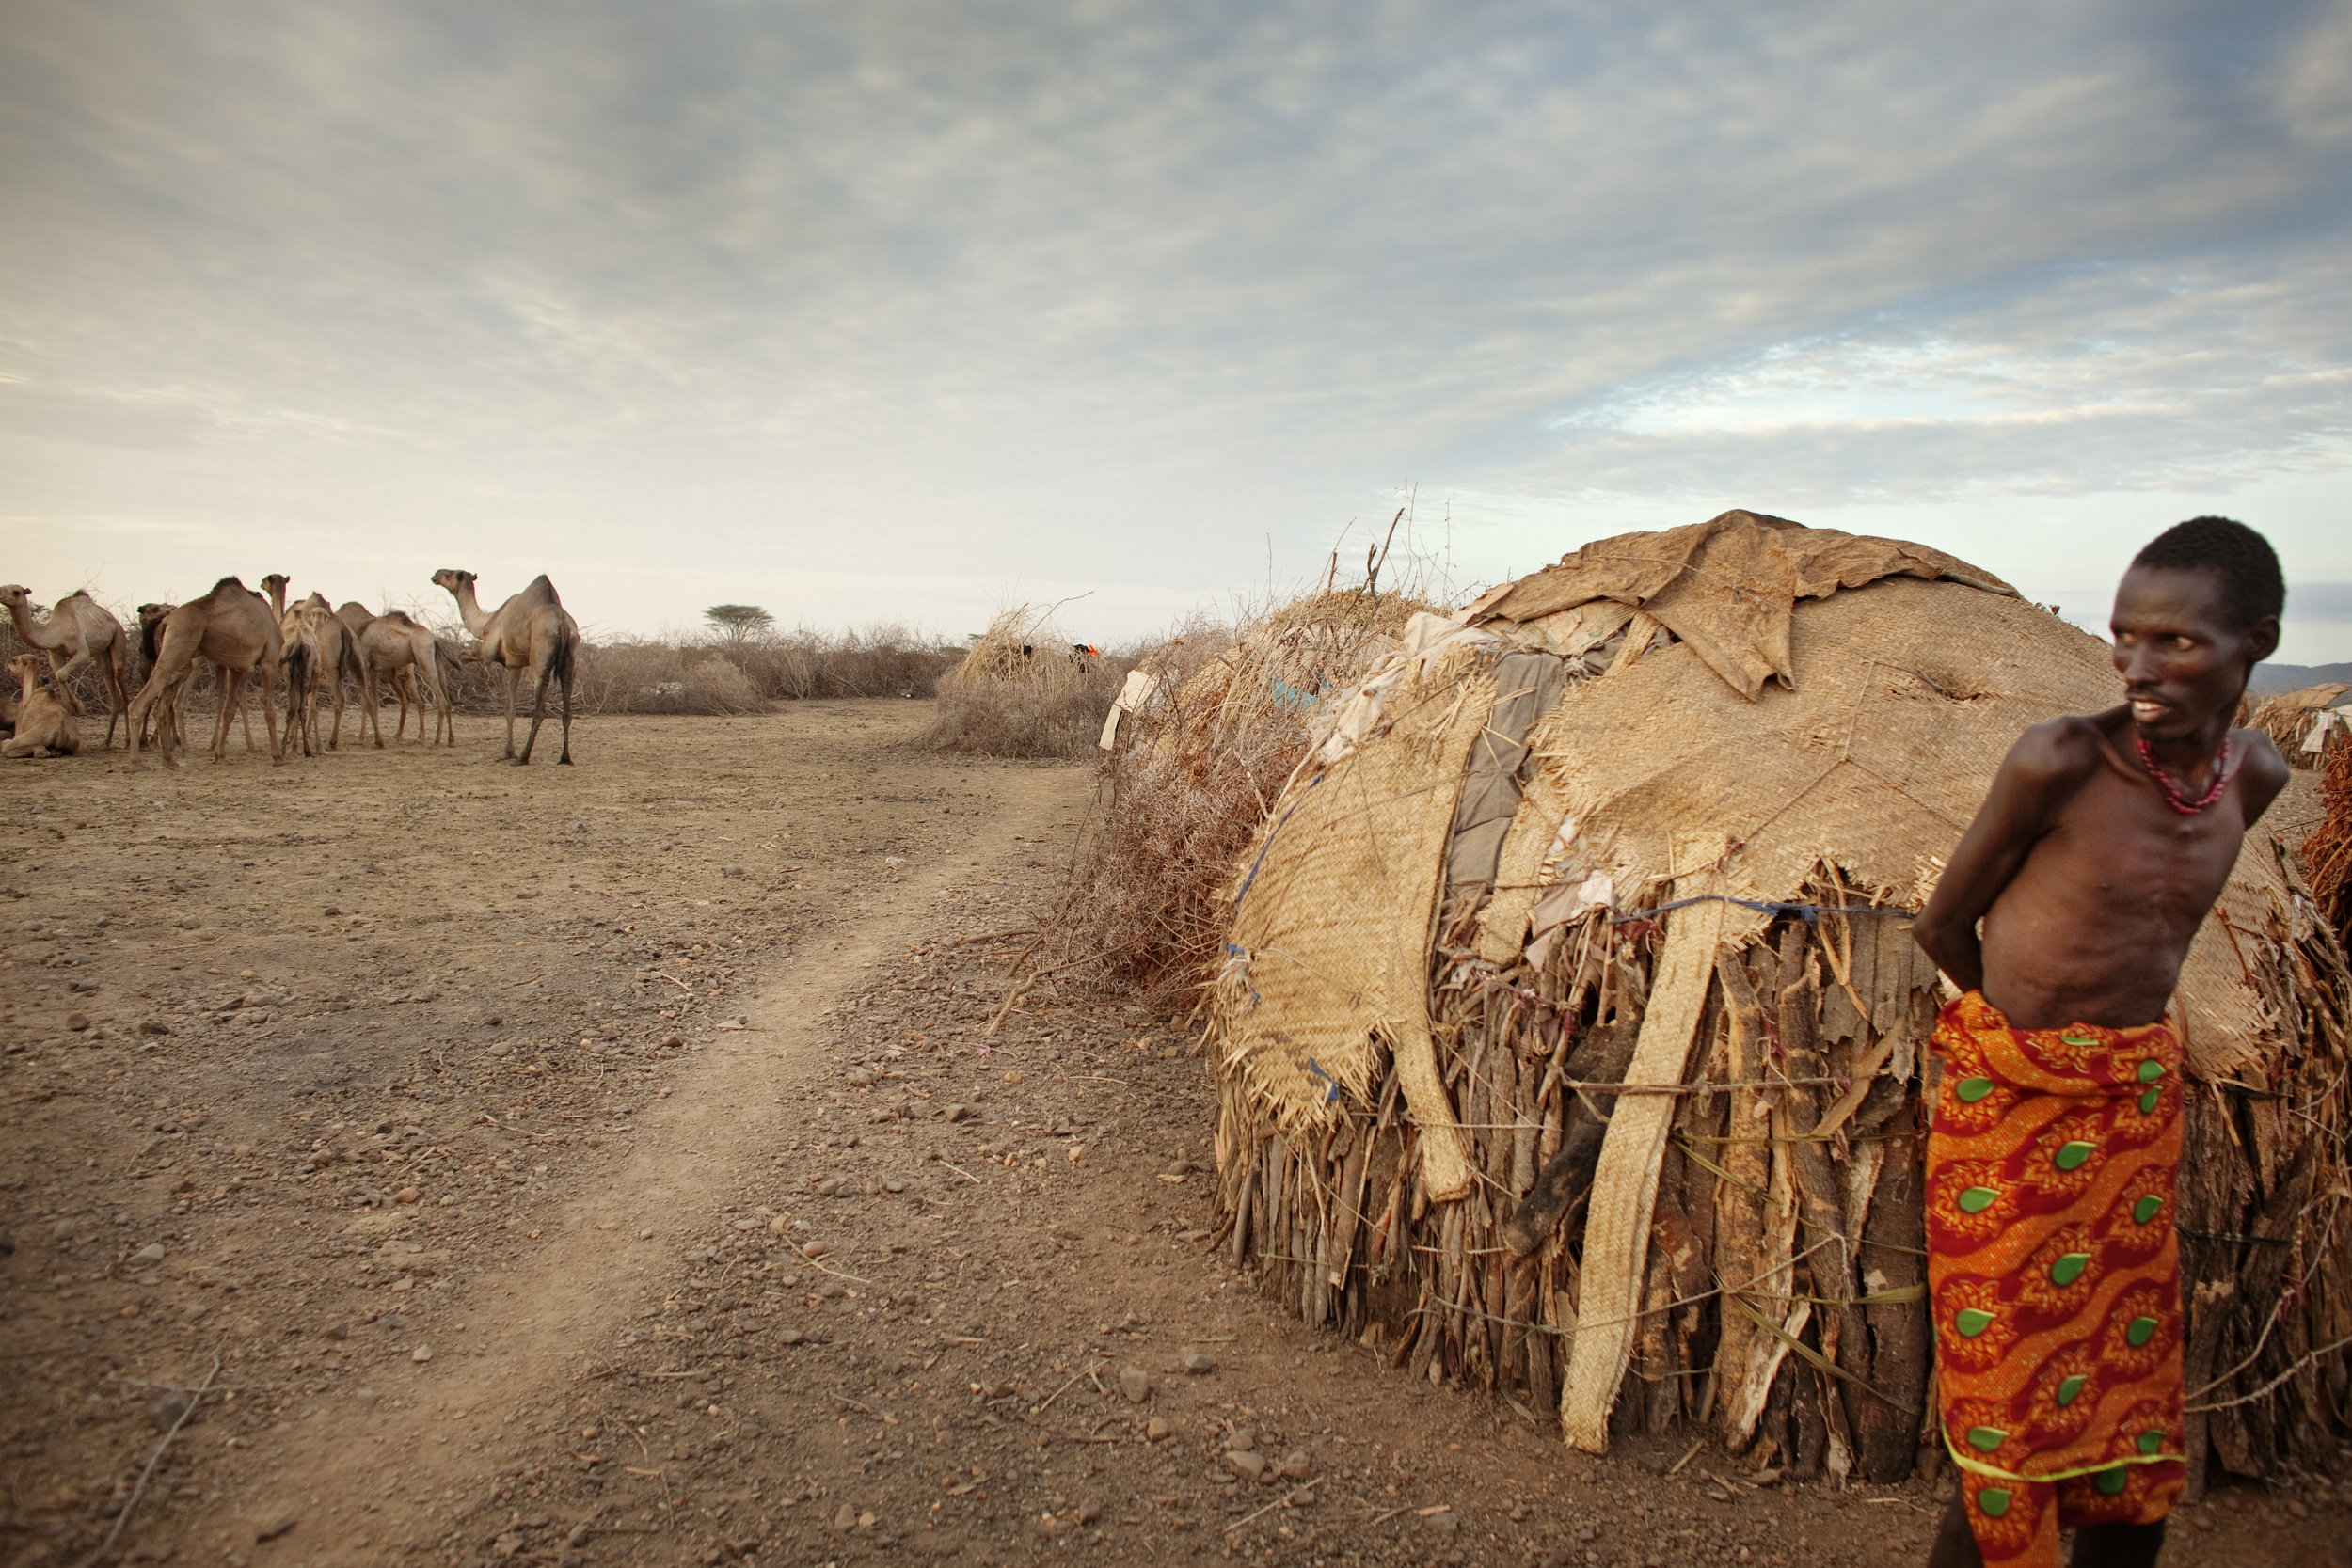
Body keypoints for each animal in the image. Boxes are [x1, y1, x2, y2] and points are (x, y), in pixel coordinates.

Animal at [0, 582, 132, 747]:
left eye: (16, 592)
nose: (0, 594)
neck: (56, 631)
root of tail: (113, 620)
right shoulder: (54, 655)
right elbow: (59, 676)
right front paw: (70, 709)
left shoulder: (83, 653)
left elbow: (61, 674)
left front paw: (79, 707)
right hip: (101, 653)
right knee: (108, 678)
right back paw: (105, 742)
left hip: (118, 638)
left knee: (121, 681)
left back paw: (128, 740)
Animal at [127, 580, 283, 770]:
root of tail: (166, 622)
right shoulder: (270, 661)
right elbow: (269, 711)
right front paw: (277, 756)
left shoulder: (236, 667)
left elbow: (229, 710)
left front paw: (219, 755)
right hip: (177, 651)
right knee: (139, 704)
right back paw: (137, 762)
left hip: (182, 663)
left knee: (161, 707)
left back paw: (169, 759)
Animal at [433, 571, 579, 766]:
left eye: (450, 574)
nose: (435, 575)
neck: (487, 622)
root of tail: (562, 624)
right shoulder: (515, 663)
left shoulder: (504, 660)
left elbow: (509, 709)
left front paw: (508, 752)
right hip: (571, 656)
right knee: (567, 708)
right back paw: (565, 758)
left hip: (541, 656)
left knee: (540, 711)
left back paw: (524, 757)